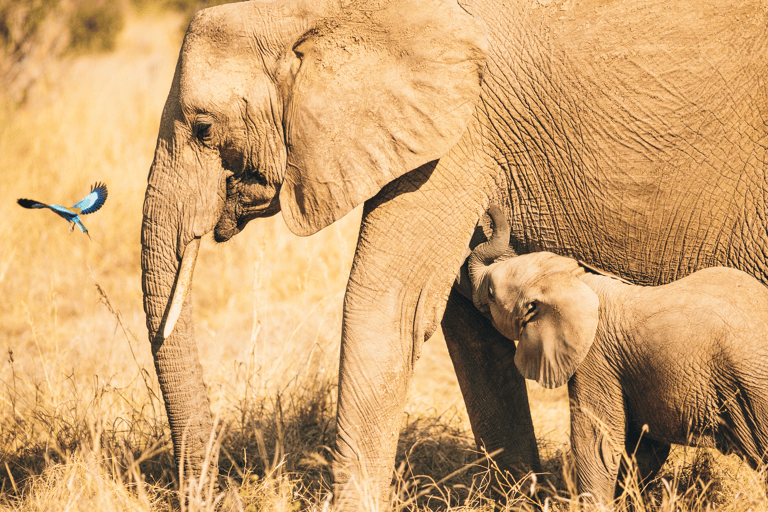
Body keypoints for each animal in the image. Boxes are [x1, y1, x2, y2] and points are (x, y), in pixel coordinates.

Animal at [468, 206, 768, 504]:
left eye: (491, 294)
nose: (490, 209)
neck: (576, 279)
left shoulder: (597, 360)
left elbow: (596, 444)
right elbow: (644, 447)